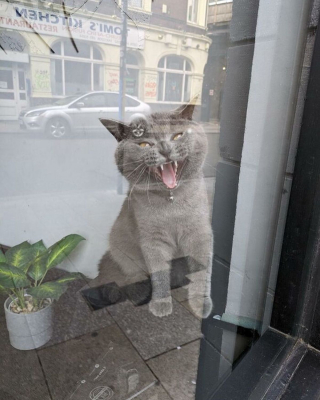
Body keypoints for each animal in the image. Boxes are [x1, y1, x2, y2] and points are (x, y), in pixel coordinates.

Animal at [98, 103, 212, 318]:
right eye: (144, 144)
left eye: (177, 135)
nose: (165, 149)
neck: (172, 202)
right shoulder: (152, 239)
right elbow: (159, 273)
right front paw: (161, 303)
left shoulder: (199, 232)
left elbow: (201, 270)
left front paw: (200, 303)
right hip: (121, 247)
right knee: (130, 275)